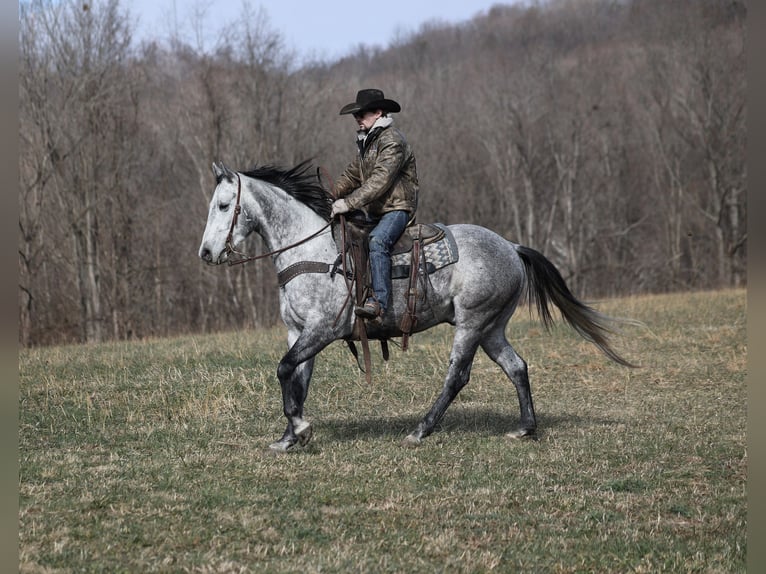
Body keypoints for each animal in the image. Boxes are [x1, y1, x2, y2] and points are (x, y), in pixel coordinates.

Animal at [198, 160, 635, 451]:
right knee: (516, 367)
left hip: (472, 324)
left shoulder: (323, 329)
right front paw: (290, 436)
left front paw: (301, 430)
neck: (313, 251)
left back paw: (422, 429)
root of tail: (511, 247)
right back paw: (525, 427)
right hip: (492, 327)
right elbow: (297, 378)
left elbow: (284, 369)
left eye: (223, 205)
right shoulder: (299, 331)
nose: (206, 253)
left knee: (458, 376)